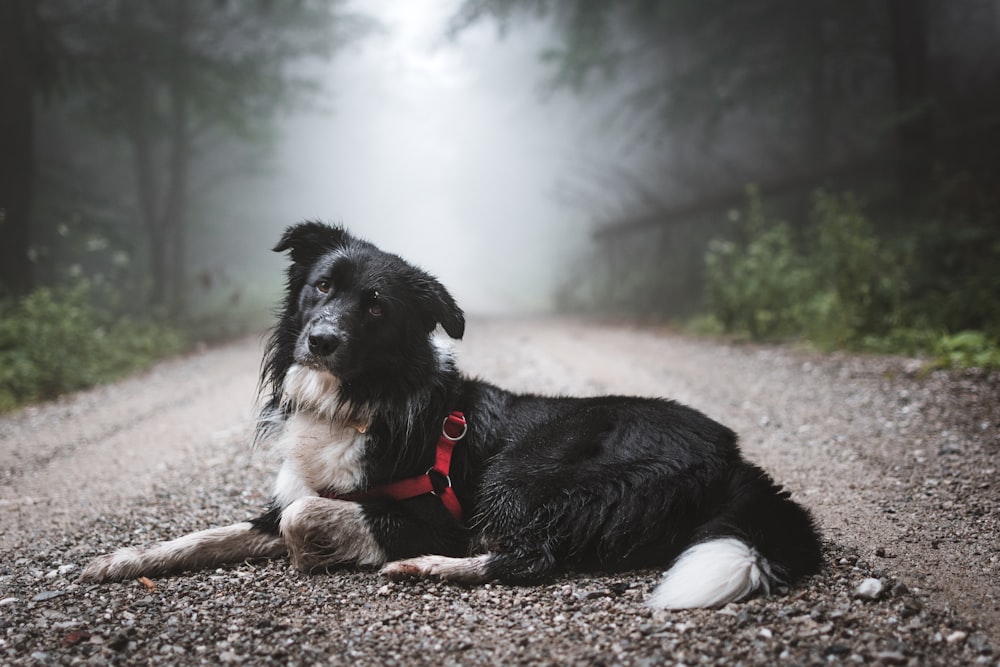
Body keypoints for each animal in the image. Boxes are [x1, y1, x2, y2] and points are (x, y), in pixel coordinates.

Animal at [82, 224, 820, 612]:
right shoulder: (285, 494)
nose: (319, 339)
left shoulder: (432, 512)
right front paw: (120, 560)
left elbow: (305, 520)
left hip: (520, 475)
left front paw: (324, 552)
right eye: (320, 286)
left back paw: (427, 568)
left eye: (375, 306)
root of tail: (735, 456)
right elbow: (208, 534)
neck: (358, 402)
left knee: (529, 558)